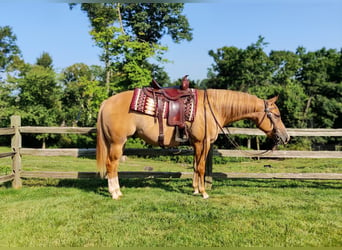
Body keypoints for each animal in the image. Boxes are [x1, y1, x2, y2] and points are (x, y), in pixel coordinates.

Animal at [97, 88, 290, 199]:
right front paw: (204, 193)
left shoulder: (199, 145)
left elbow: (196, 166)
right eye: (277, 115)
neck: (212, 108)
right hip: (117, 143)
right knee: (111, 165)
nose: (286, 137)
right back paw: (115, 193)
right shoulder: (201, 143)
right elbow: (202, 167)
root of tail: (106, 102)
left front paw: (196, 189)